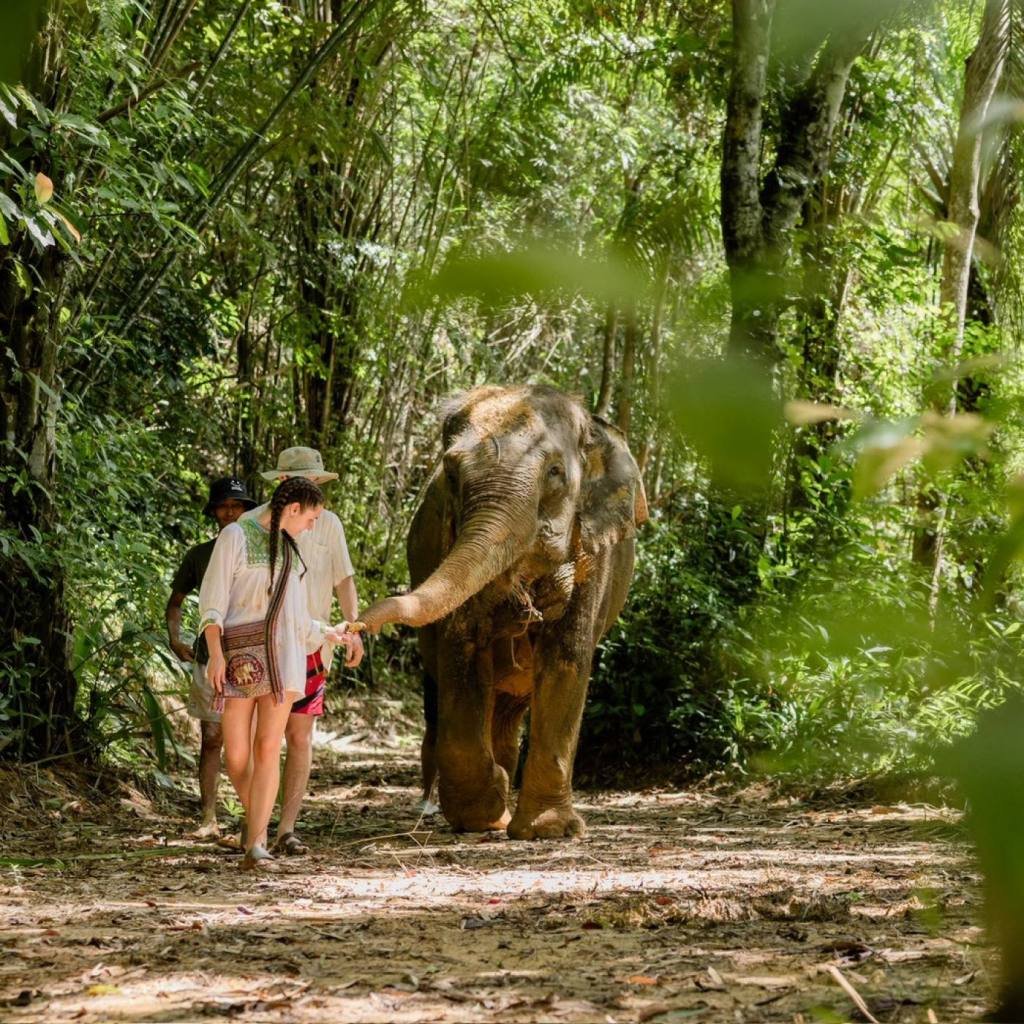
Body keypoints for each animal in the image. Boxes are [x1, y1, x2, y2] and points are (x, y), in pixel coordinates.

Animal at [356, 385, 647, 838]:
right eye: (451, 474)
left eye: (555, 473)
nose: (354, 625)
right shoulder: (449, 541)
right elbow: (462, 651)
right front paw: (483, 813)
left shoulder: (594, 555)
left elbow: (566, 661)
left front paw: (549, 830)